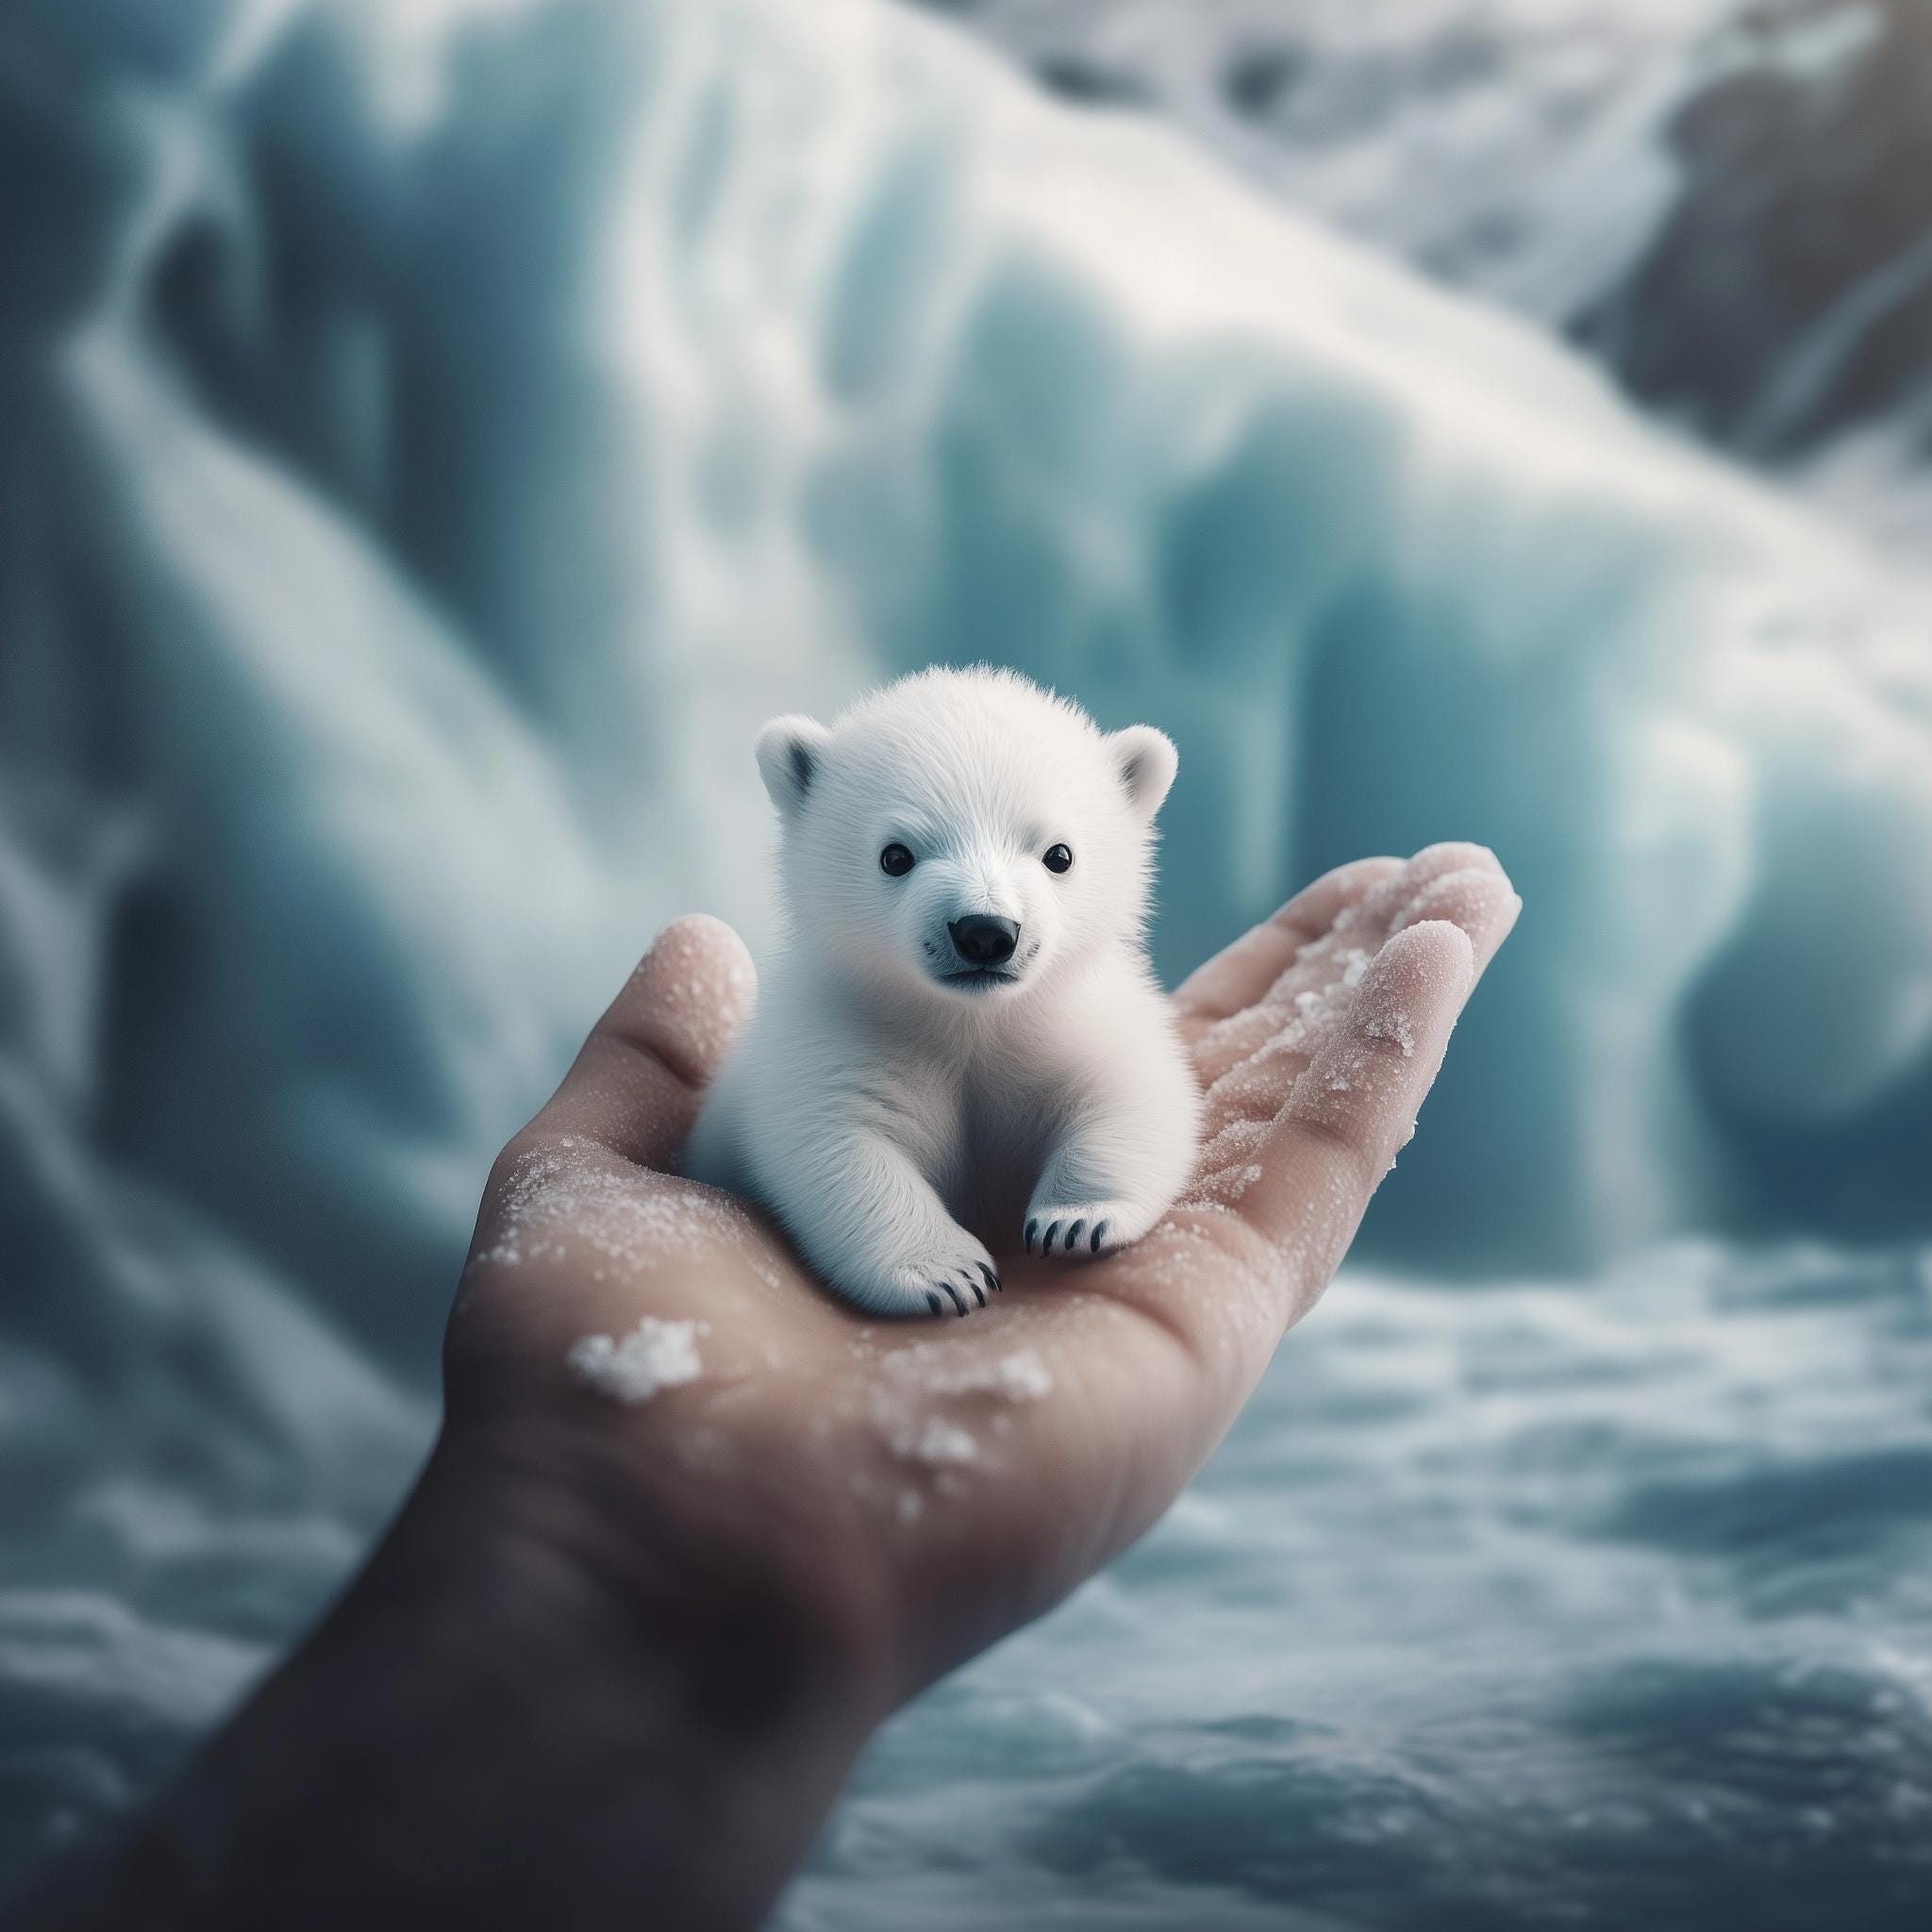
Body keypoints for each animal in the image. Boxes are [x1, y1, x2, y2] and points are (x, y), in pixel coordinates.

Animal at [685, 666, 1202, 1319]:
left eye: (1059, 854)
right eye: (895, 855)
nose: (985, 932)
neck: (969, 1020)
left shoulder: (1074, 1018)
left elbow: (1131, 1096)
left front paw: (1076, 1220)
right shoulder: (838, 1030)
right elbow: (840, 1145)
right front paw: (949, 1274)